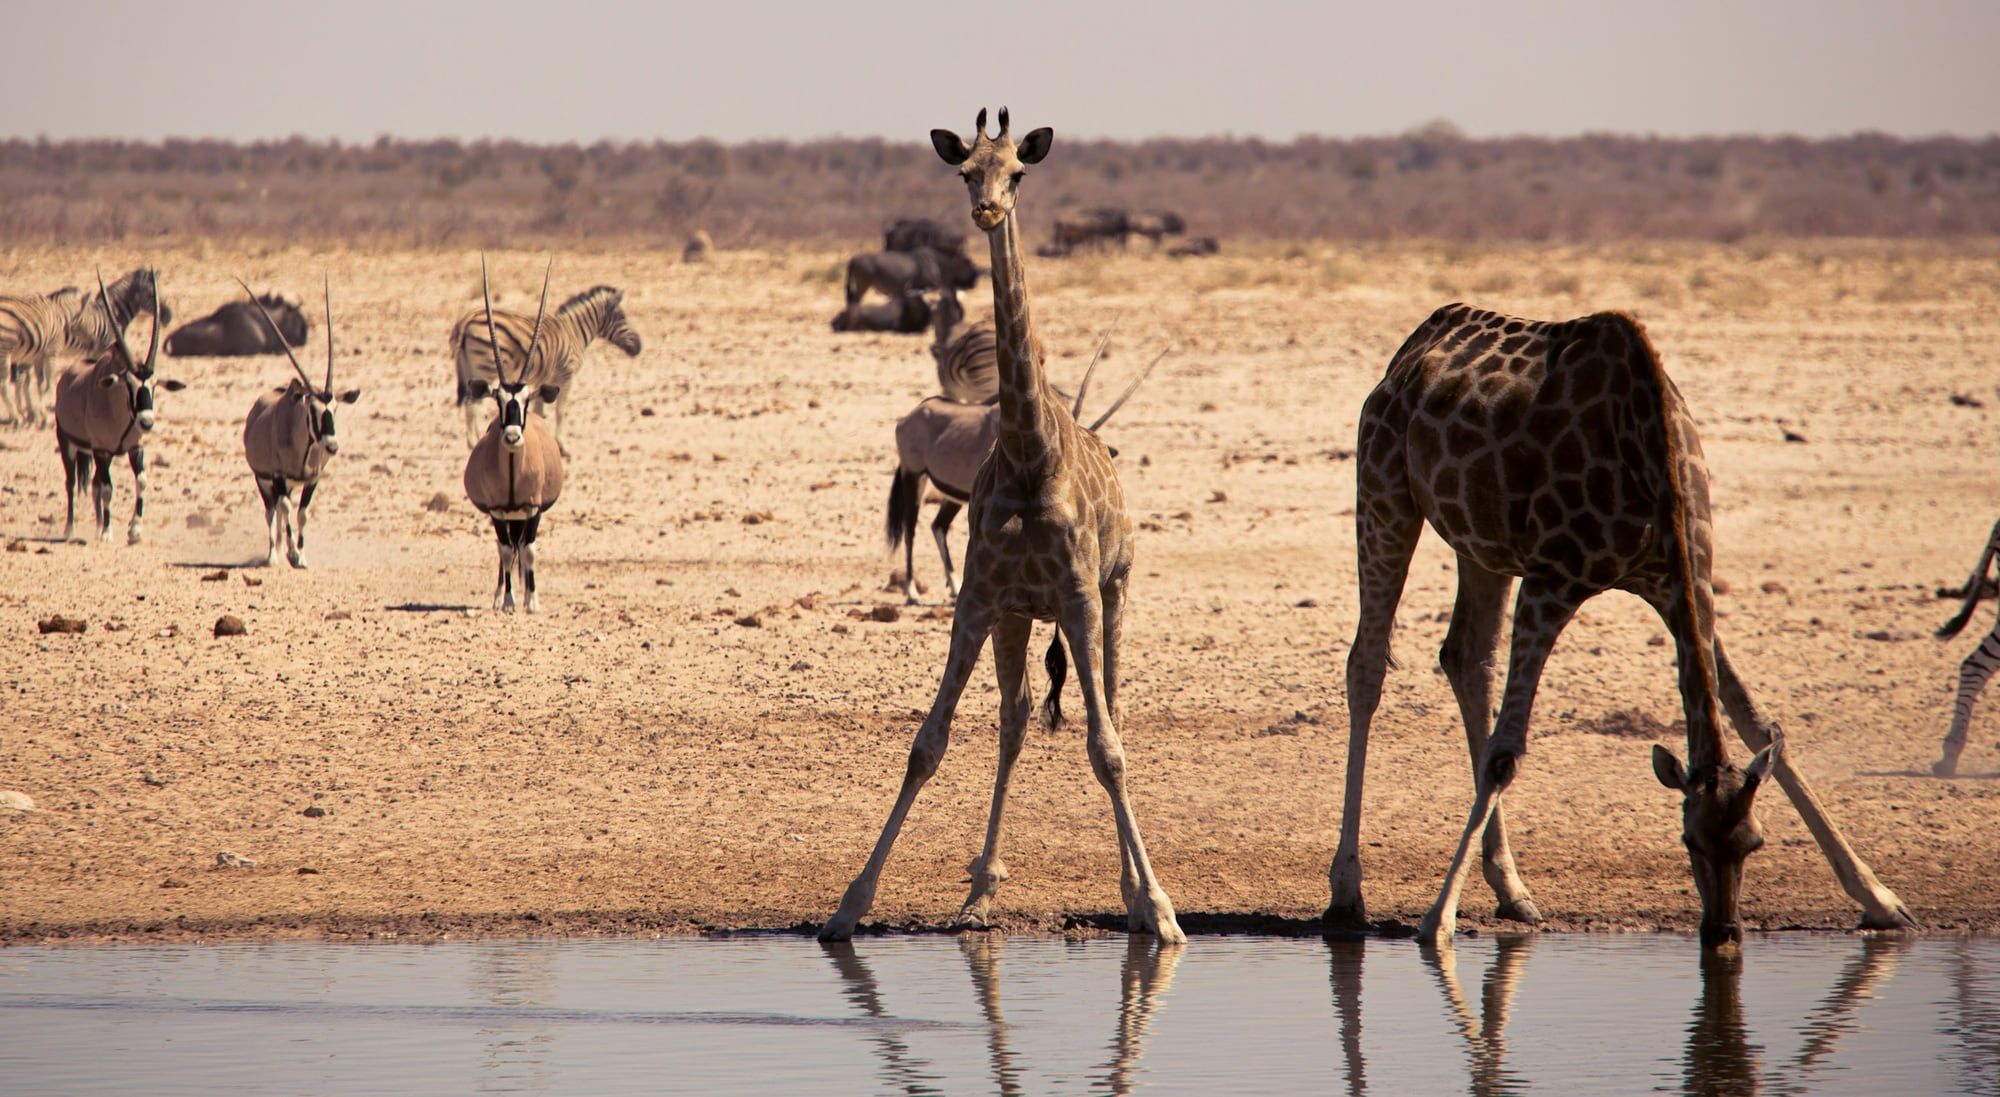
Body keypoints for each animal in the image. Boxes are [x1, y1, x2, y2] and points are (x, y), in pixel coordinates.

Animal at [2, 268, 169, 428]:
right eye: (150, 293)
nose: (168, 316)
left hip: (27, 353)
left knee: (22, 380)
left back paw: (28, 415)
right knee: (11, 382)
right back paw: (20, 417)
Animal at [52, 271, 184, 544]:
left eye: (154, 385)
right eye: (128, 384)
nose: (146, 422)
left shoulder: (135, 448)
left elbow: (141, 481)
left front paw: (134, 531)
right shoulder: (102, 451)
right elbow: (108, 489)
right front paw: (107, 533)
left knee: (92, 483)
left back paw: (96, 526)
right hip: (68, 443)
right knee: (72, 482)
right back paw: (70, 529)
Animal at [239, 278, 360, 568]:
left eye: (335, 409)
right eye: (312, 409)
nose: (332, 447)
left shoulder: (311, 479)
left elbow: (302, 513)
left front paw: (301, 556)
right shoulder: (277, 476)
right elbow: (283, 509)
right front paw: (290, 553)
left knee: (283, 509)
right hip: (263, 480)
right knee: (272, 511)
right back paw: (273, 554)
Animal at [450, 280, 641, 453]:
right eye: (622, 318)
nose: (639, 347)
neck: (574, 333)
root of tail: (466, 320)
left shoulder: (545, 379)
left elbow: (538, 410)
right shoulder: (566, 375)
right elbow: (560, 410)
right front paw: (563, 446)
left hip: (471, 368)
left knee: (472, 402)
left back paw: (479, 439)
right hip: (485, 369)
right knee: (472, 405)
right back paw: (473, 443)